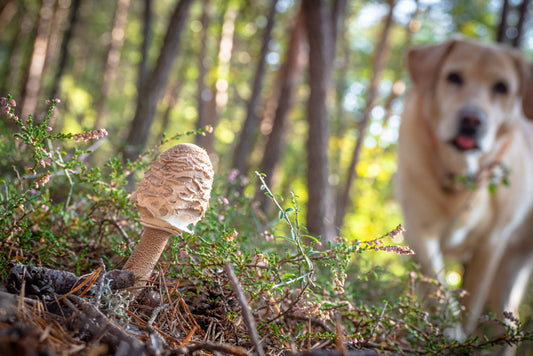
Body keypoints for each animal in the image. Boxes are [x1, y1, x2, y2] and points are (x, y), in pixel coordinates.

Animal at [394, 38, 532, 340]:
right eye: (453, 77)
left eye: (501, 87)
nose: (471, 119)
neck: (462, 176)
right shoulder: (420, 231)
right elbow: (439, 290)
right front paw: (449, 331)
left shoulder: (492, 242)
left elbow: (472, 304)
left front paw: (462, 338)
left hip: (509, 271)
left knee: (508, 325)